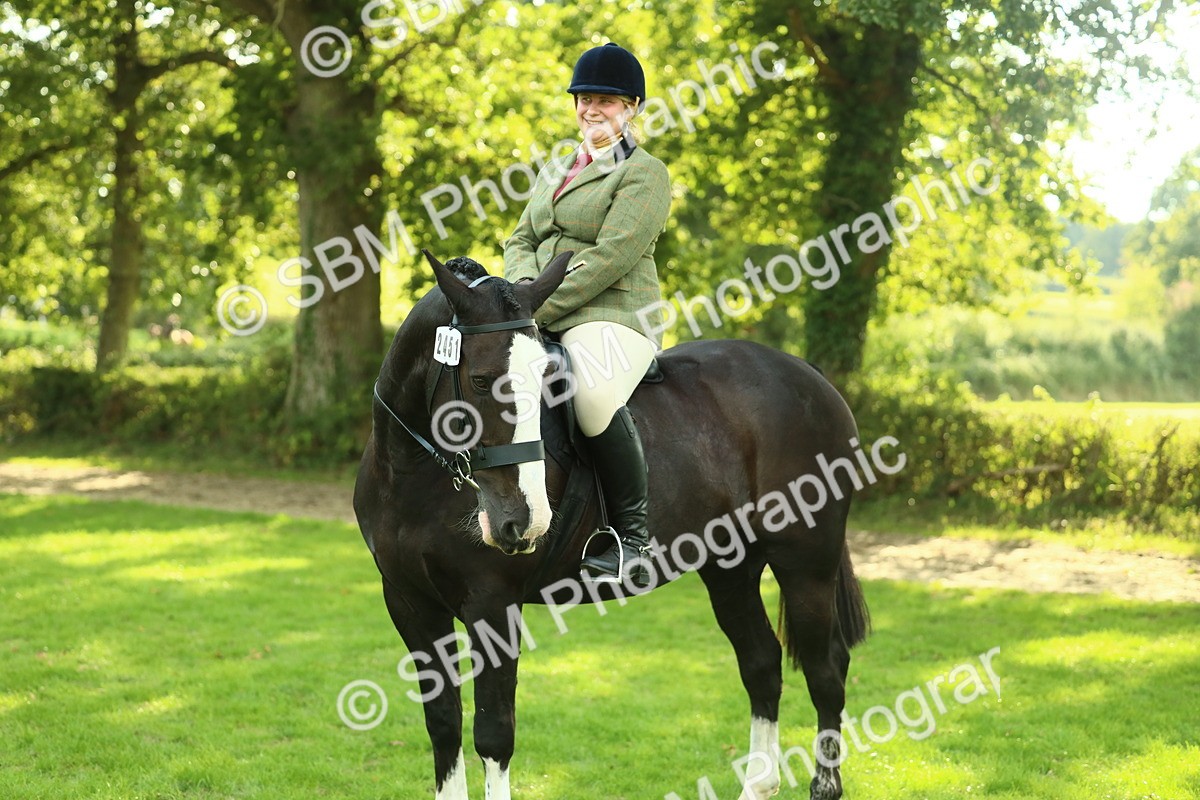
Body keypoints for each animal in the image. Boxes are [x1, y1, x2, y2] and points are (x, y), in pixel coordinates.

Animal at [353, 250, 870, 800]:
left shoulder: (493, 606)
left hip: (805, 563)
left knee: (825, 669)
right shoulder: (410, 603)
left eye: (545, 380)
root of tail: (805, 374)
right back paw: (759, 784)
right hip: (731, 568)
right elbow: (443, 724)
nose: (524, 522)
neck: (412, 472)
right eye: (479, 381)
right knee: (762, 663)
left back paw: (824, 784)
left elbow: (493, 734)